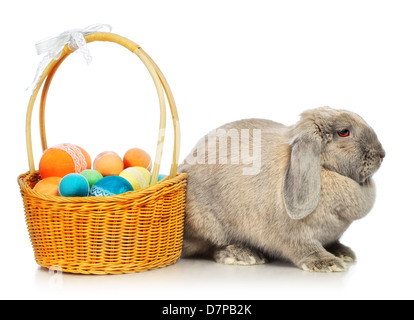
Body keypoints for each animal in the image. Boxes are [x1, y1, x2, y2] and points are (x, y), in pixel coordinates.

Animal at [178, 107, 384, 272]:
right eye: (344, 132)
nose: (382, 154)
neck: (322, 168)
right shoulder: (294, 235)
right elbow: (303, 247)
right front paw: (327, 264)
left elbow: (332, 242)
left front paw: (343, 253)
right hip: (209, 224)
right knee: (210, 247)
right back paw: (244, 255)